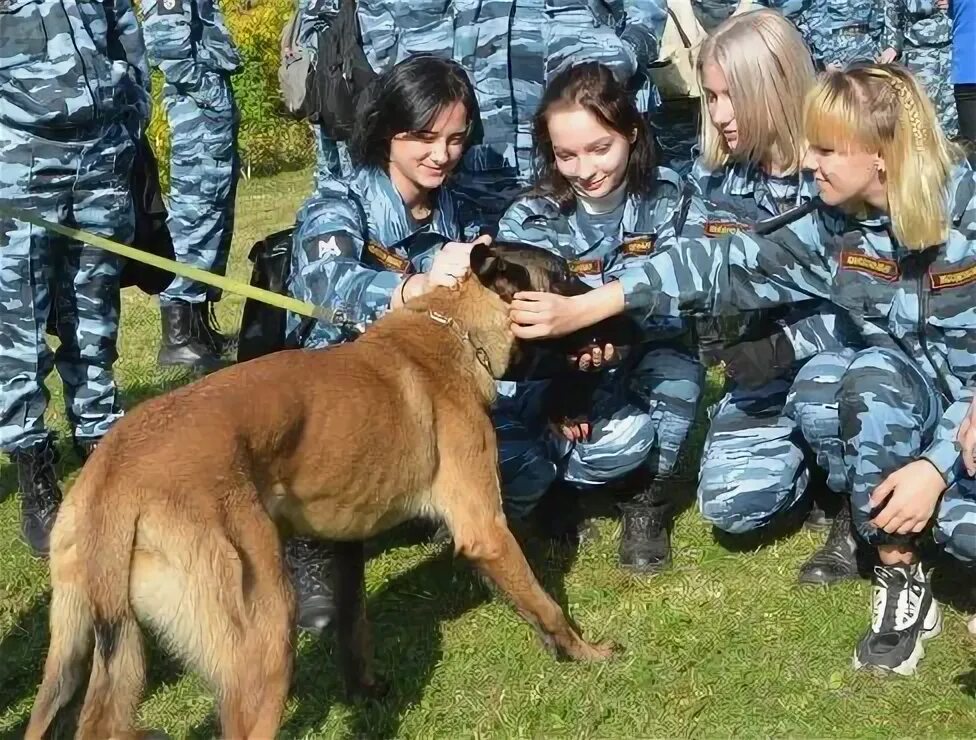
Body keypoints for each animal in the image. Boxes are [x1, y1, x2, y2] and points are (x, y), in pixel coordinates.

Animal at [26, 244, 612, 740]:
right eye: (564, 276)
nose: (616, 305)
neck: (455, 329)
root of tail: (115, 475)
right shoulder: (486, 530)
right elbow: (544, 602)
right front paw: (583, 651)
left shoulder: (346, 543)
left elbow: (354, 632)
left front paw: (366, 690)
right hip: (264, 640)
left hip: (72, 656)